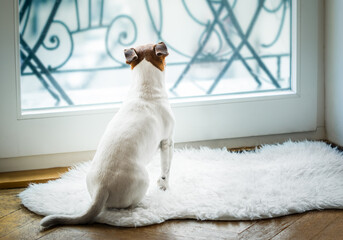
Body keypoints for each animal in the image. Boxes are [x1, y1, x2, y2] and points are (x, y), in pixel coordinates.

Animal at [40, 42, 175, 228]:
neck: (145, 90)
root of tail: (102, 188)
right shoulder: (167, 142)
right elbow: (166, 169)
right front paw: (165, 186)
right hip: (143, 180)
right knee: (131, 205)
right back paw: (144, 203)